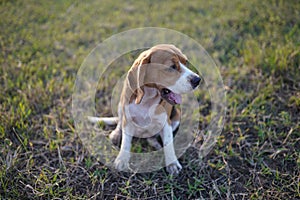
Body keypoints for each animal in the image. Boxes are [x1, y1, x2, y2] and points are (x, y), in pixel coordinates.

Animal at [89, 44, 202, 174]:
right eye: (172, 67)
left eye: (185, 62)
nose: (198, 80)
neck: (148, 100)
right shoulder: (128, 120)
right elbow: (126, 142)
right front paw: (122, 160)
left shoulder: (166, 123)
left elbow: (168, 143)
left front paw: (172, 163)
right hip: (120, 107)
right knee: (120, 124)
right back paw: (116, 134)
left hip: (176, 117)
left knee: (152, 138)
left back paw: (156, 145)